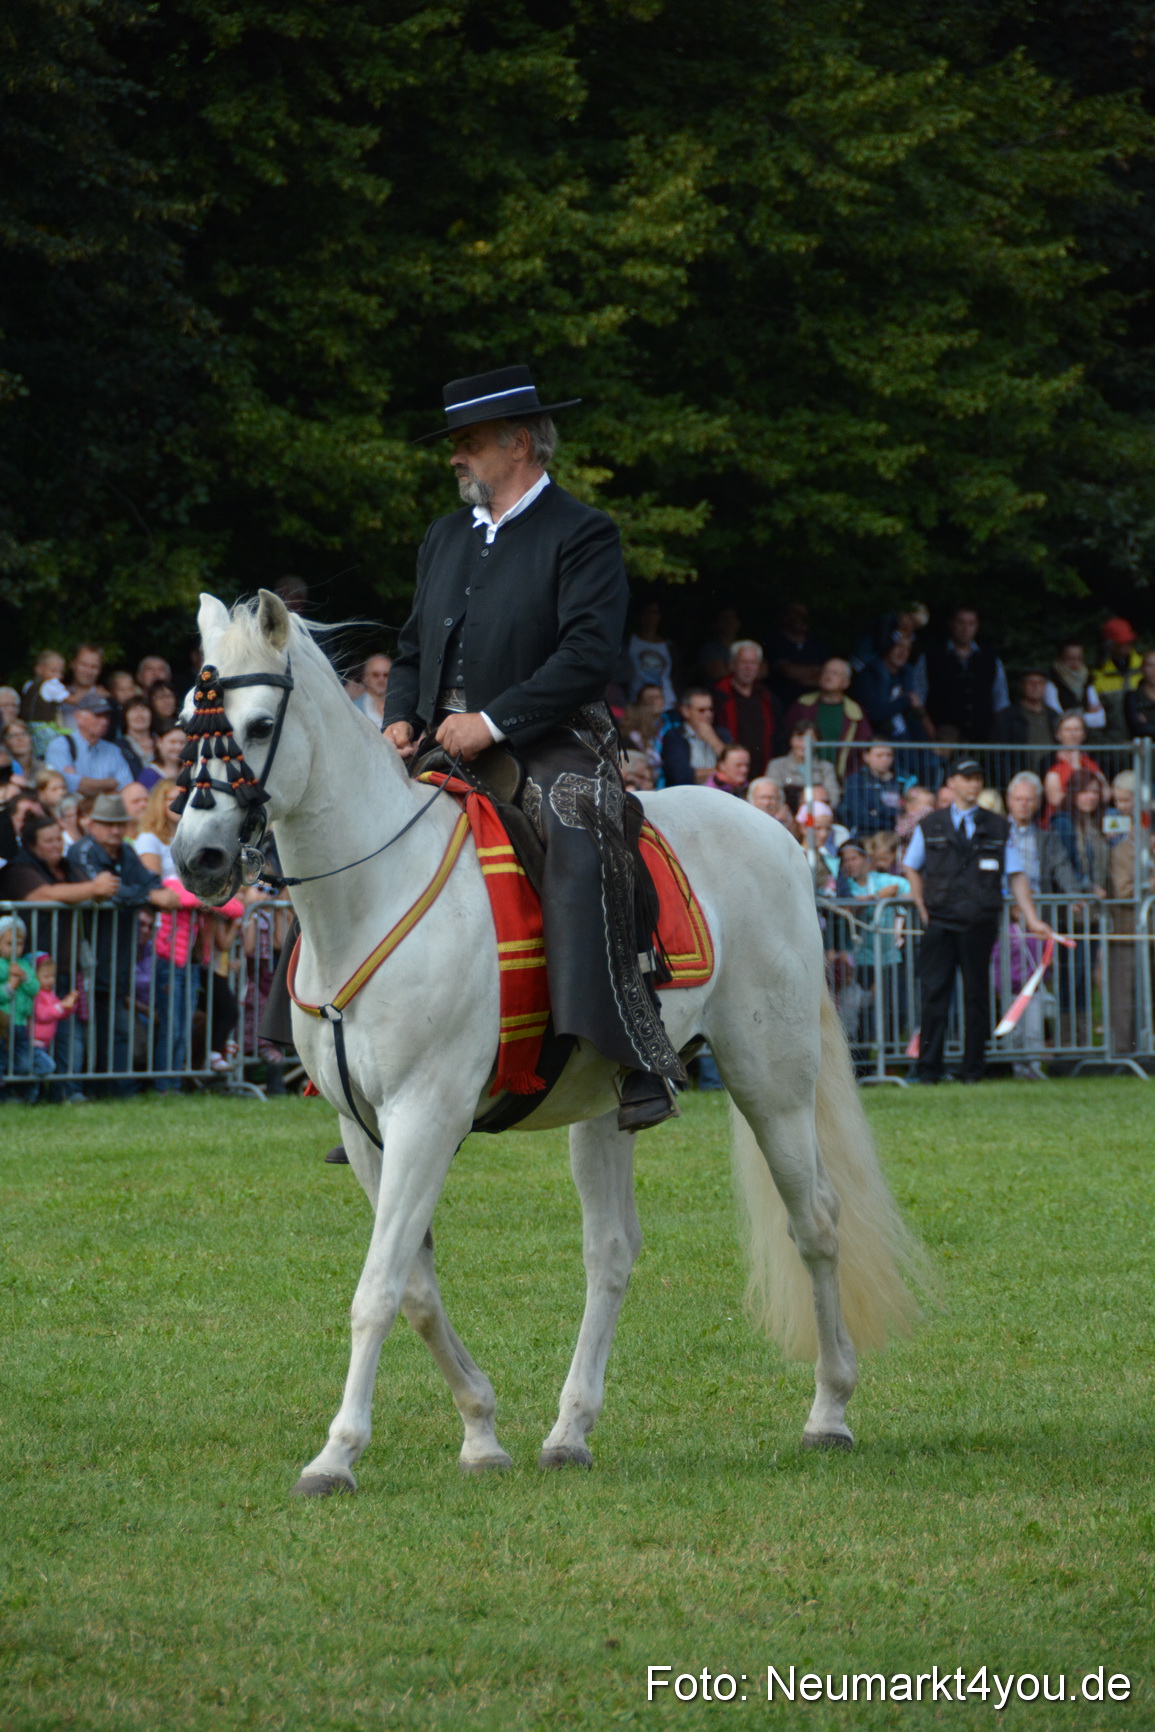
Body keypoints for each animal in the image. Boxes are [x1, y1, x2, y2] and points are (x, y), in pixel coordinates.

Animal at [173, 590, 925, 1497]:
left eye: (255, 726)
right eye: (185, 725)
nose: (198, 856)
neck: (370, 895)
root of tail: (777, 835)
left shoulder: (426, 1116)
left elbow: (378, 1288)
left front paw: (336, 1454)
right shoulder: (365, 1132)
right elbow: (415, 1289)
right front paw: (480, 1431)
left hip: (771, 1082)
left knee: (813, 1222)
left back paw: (829, 1412)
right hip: (607, 1104)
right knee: (611, 1252)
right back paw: (569, 1430)